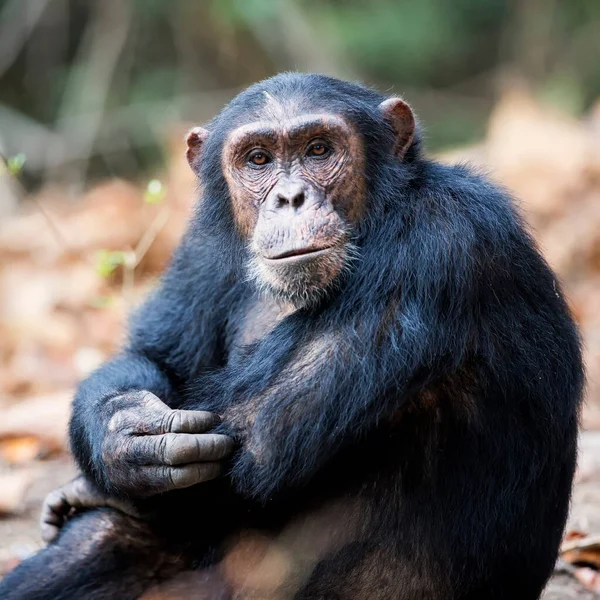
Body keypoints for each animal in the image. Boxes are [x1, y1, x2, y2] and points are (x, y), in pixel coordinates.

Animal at [0, 75, 584, 600]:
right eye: (258, 160)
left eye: (319, 149)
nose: (289, 197)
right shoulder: (202, 249)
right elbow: (156, 356)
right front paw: (122, 433)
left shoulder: (441, 241)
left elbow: (250, 441)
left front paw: (88, 482)